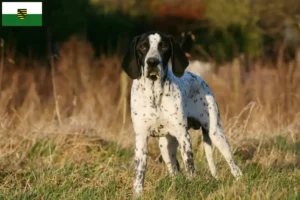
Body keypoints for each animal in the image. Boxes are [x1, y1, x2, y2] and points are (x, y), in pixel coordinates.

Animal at [120, 30, 243, 197]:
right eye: (143, 47)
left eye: (163, 46)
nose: (152, 62)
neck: (154, 94)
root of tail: (199, 77)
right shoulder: (141, 138)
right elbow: (139, 173)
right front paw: (137, 194)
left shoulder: (184, 136)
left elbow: (189, 166)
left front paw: (192, 188)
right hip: (165, 146)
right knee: (175, 173)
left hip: (216, 135)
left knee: (234, 166)